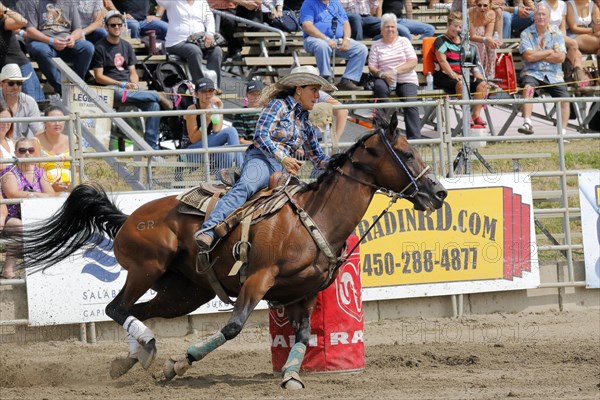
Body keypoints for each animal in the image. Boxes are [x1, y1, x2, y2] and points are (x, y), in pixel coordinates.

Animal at [7, 115, 448, 388]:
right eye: (407, 154)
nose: (439, 193)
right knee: (116, 307)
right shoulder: (257, 279)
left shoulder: (304, 293)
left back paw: (136, 357)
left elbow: (304, 337)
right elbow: (233, 327)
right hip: (146, 269)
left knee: (136, 312)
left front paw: (291, 376)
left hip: (184, 293)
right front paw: (180, 363)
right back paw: (151, 353)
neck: (315, 218)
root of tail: (129, 217)